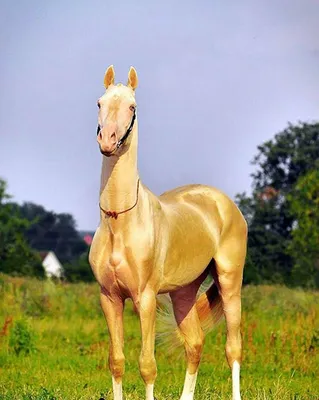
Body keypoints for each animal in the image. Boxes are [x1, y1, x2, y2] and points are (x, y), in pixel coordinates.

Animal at [89, 65, 249, 400]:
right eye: (100, 102)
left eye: (132, 107)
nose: (108, 141)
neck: (120, 222)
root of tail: (224, 202)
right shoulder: (109, 298)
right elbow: (117, 361)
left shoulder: (146, 299)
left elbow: (147, 365)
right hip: (183, 294)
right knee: (195, 344)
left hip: (230, 283)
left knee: (233, 349)